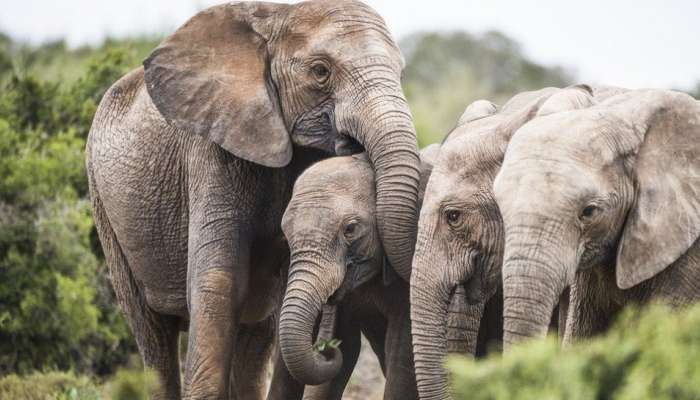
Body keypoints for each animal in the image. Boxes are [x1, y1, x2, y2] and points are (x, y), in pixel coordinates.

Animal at [85, 1, 418, 398]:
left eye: (400, 72)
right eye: (320, 71)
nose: (329, 349)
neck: (276, 19)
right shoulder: (213, 151)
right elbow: (219, 284)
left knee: (254, 337)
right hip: (105, 208)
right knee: (152, 333)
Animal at [278, 150, 438, 400]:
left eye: (350, 229)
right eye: (285, 234)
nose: (325, 348)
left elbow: (403, 357)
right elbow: (346, 350)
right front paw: (337, 346)